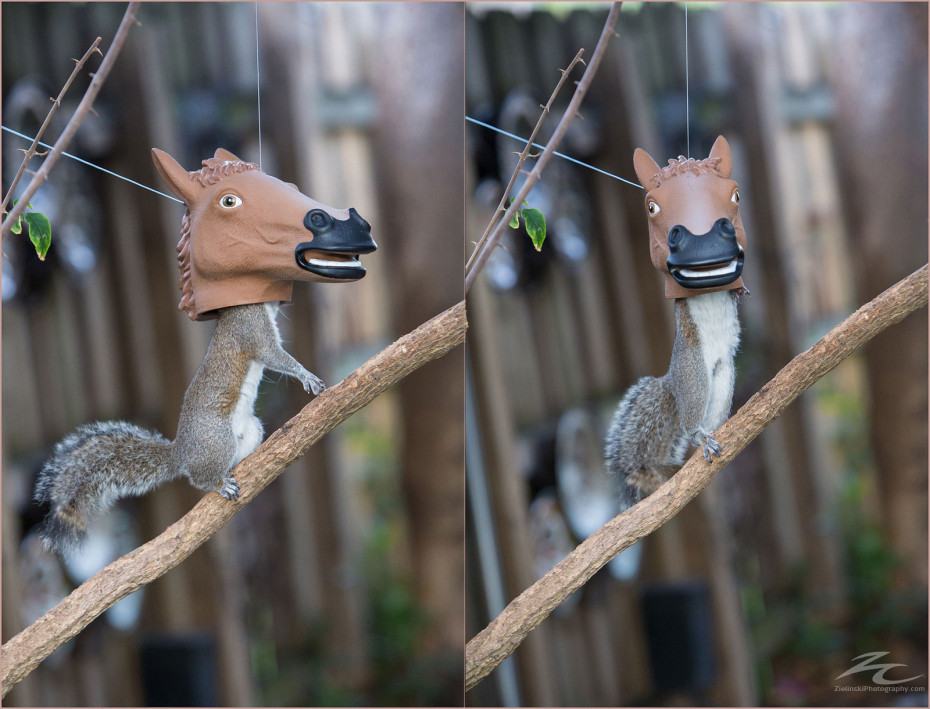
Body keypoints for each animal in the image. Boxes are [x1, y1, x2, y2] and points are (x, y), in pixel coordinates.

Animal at [34, 302, 324, 552]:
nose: (287, 301)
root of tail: (182, 453)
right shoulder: (251, 328)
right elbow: (274, 356)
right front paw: (306, 376)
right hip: (218, 439)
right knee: (200, 479)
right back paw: (221, 484)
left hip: (250, 430)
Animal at [600, 134, 748, 508]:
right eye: (653, 208)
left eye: (735, 196)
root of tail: (673, 383)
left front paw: (740, 290)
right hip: (694, 379)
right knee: (691, 423)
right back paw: (700, 435)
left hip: (724, 379)